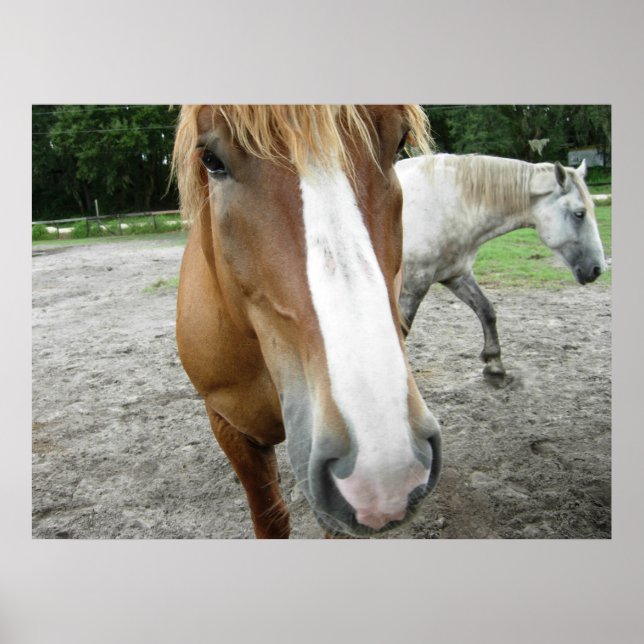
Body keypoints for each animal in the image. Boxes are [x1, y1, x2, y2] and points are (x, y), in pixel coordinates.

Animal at [397, 153, 606, 376]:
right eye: (579, 214)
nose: (597, 269)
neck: (443, 204)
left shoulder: (456, 275)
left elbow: (486, 310)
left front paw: (494, 362)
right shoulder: (414, 285)